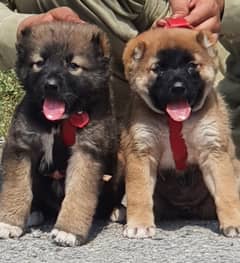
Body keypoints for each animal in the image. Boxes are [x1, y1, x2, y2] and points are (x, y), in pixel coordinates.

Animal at [120, 28, 240, 239]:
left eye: (191, 66)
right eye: (158, 69)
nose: (178, 88)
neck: (175, 123)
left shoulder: (213, 151)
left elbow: (227, 192)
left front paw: (234, 221)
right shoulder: (141, 152)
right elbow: (139, 193)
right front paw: (139, 224)